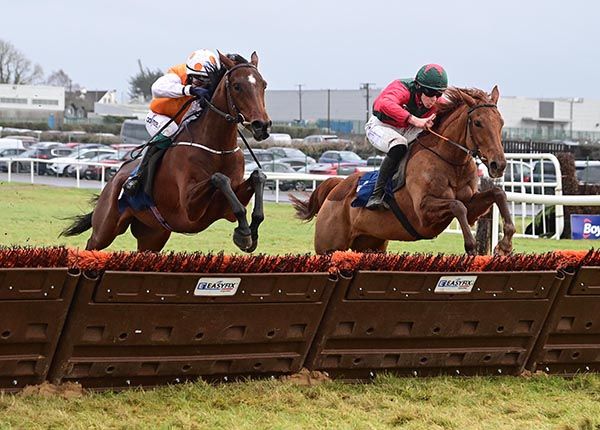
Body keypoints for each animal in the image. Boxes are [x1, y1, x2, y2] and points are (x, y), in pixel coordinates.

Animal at [61, 51, 272, 252]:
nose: (261, 125)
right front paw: (243, 233)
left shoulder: (225, 207)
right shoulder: (190, 208)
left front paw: (251, 232)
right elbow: (219, 178)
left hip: (152, 236)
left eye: (264, 85)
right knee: (91, 245)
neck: (218, 149)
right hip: (105, 230)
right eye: (237, 86)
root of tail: (113, 180)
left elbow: (257, 177)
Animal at [292, 87, 516, 255]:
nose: (498, 164)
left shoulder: (471, 206)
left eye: (501, 122)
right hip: (328, 248)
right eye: (478, 123)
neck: (451, 162)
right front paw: (471, 247)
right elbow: (457, 205)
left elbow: (497, 193)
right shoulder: (423, 212)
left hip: (371, 245)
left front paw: (504, 246)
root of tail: (336, 187)